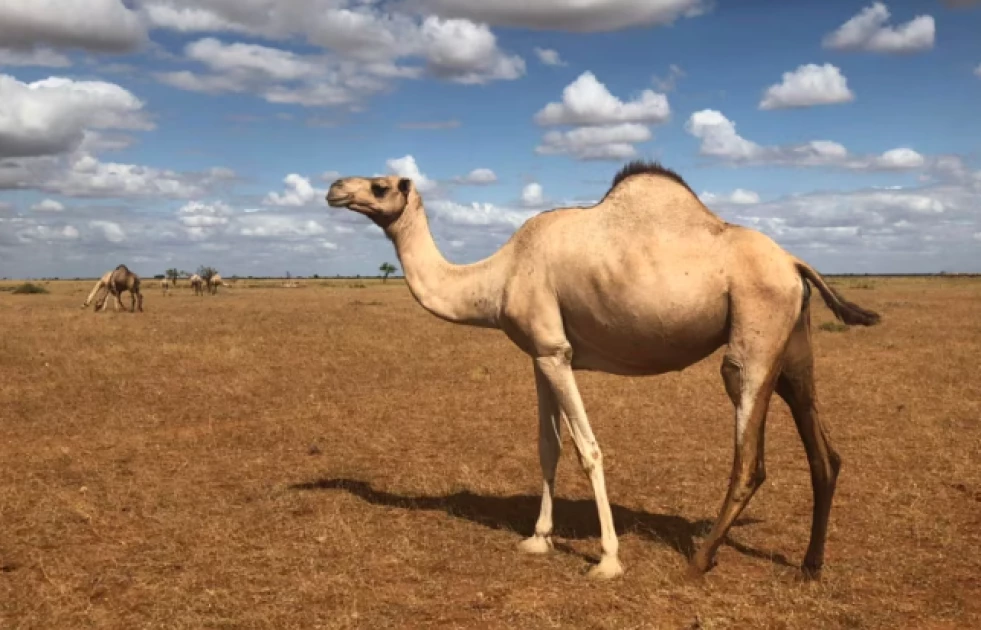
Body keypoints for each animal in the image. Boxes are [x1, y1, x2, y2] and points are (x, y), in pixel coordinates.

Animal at [325, 161, 881, 582]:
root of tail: (795, 262)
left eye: (380, 185)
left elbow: (587, 449)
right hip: (793, 345)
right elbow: (547, 446)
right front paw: (538, 538)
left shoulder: (555, 350)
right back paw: (809, 565)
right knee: (823, 451)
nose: (334, 188)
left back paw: (701, 558)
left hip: (754, 336)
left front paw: (608, 560)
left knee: (750, 455)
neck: (496, 278)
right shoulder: (540, 352)